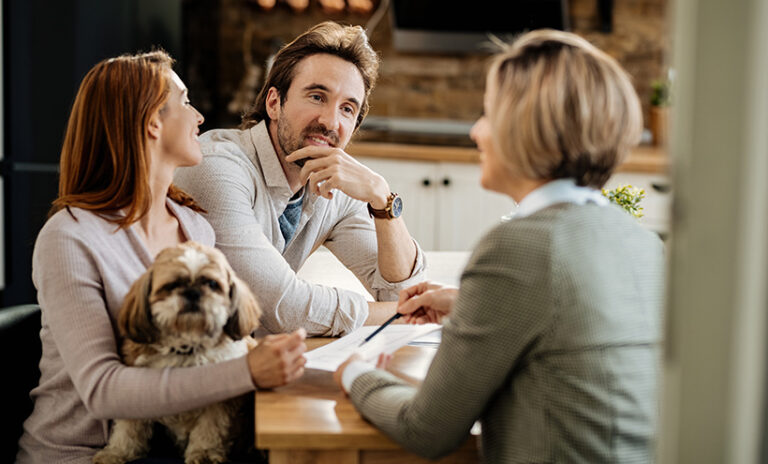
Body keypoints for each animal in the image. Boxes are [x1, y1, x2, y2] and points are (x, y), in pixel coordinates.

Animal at [92, 243, 260, 464]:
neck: (186, 345)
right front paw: (117, 452)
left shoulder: (219, 403)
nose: (193, 293)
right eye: (172, 285)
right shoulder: (132, 386)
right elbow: (128, 427)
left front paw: (204, 453)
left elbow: (211, 427)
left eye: (212, 284)